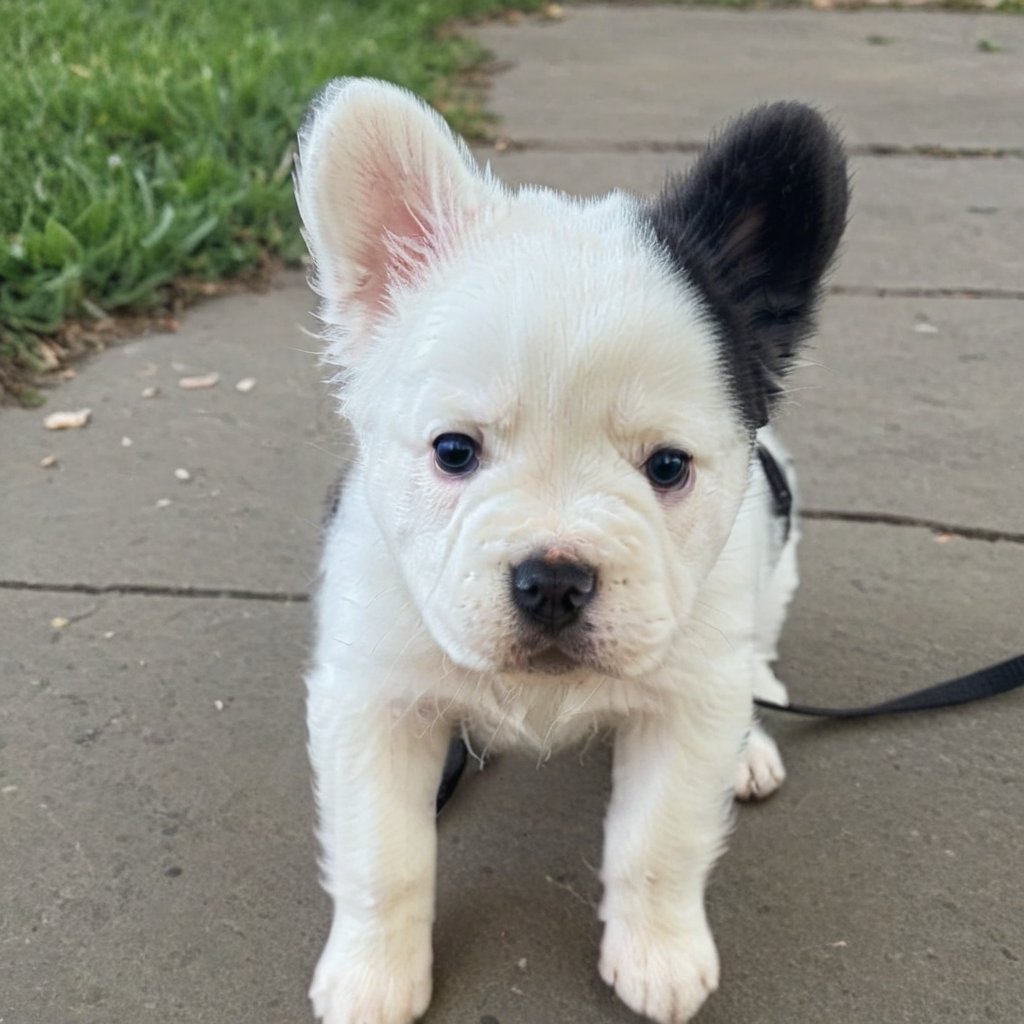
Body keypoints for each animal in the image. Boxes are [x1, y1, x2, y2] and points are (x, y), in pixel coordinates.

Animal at [294, 79, 847, 1024]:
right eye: (454, 452)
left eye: (668, 468)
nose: (553, 581)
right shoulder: (374, 700)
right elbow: (383, 855)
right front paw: (374, 973)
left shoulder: (685, 704)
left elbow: (660, 843)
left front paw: (658, 955)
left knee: (758, 650)